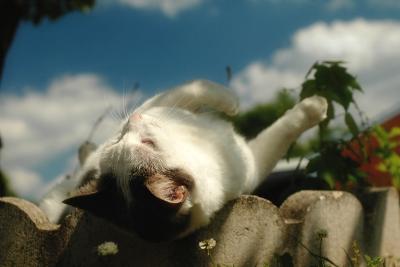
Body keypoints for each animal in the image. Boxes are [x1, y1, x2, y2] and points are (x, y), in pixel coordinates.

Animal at [38, 80, 328, 243]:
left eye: (145, 142)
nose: (133, 119)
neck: (195, 145)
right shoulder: (253, 162)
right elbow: (282, 131)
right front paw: (315, 106)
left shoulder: (161, 105)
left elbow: (191, 90)